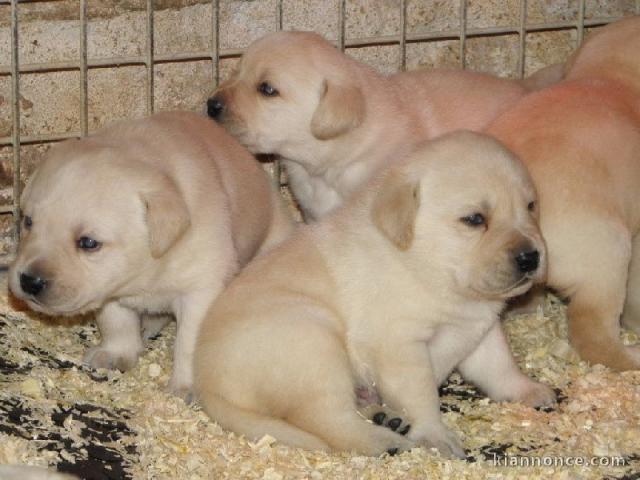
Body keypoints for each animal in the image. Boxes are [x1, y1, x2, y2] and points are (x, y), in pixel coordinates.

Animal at [8, 110, 294, 396]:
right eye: (28, 222)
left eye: (88, 242)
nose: (29, 281)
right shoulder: (112, 289)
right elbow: (117, 321)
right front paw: (115, 354)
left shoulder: (201, 290)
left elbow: (190, 343)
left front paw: (186, 387)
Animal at [191, 132, 556, 458]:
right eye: (474, 219)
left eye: (530, 206)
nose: (530, 256)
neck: (426, 265)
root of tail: (207, 383)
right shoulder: (400, 346)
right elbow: (421, 395)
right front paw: (436, 435)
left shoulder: (481, 329)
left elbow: (500, 367)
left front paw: (528, 390)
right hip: (314, 343)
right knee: (328, 419)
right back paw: (382, 440)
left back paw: (385, 417)